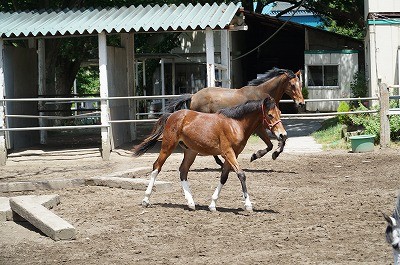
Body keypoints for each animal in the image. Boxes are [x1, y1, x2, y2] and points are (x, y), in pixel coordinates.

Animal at [134, 95, 288, 210]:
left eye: (280, 113)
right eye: (270, 115)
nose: (283, 135)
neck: (235, 125)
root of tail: (172, 115)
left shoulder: (233, 154)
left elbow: (224, 177)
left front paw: (213, 204)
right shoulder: (228, 153)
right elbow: (241, 174)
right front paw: (248, 204)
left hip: (190, 151)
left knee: (183, 171)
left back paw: (191, 203)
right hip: (168, 146)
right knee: (156, 167)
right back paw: (146, 200)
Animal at [164, 66, 304, 165]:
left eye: (301, 84)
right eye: (292, 85)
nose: (301, 103)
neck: (262, 94)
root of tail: (193, 96)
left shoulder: (272, 124)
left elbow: (282, 138)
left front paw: (276, 153)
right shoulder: (260, 127)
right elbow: (270, 145)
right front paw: (256, 155)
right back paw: (220, 162)